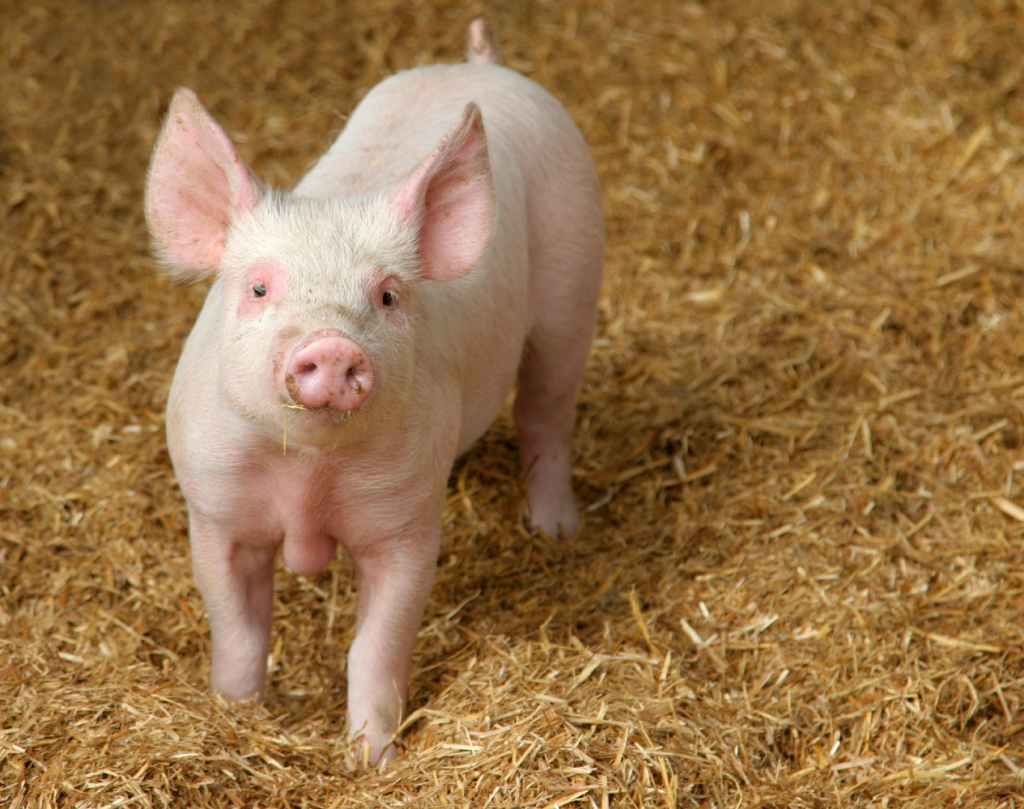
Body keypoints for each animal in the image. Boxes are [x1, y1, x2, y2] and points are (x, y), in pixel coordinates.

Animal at [144, 19, 604, 765]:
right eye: (259, 287)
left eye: (387, 295)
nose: (332, 346)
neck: (308, 475)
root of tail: (479, 65)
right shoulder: (215, 513)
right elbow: (238, 633)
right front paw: (237, 717)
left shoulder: (404, 525)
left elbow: (376, 647)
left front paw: (372, 760)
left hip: (575, 283)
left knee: (547, 413)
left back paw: (555, 530)